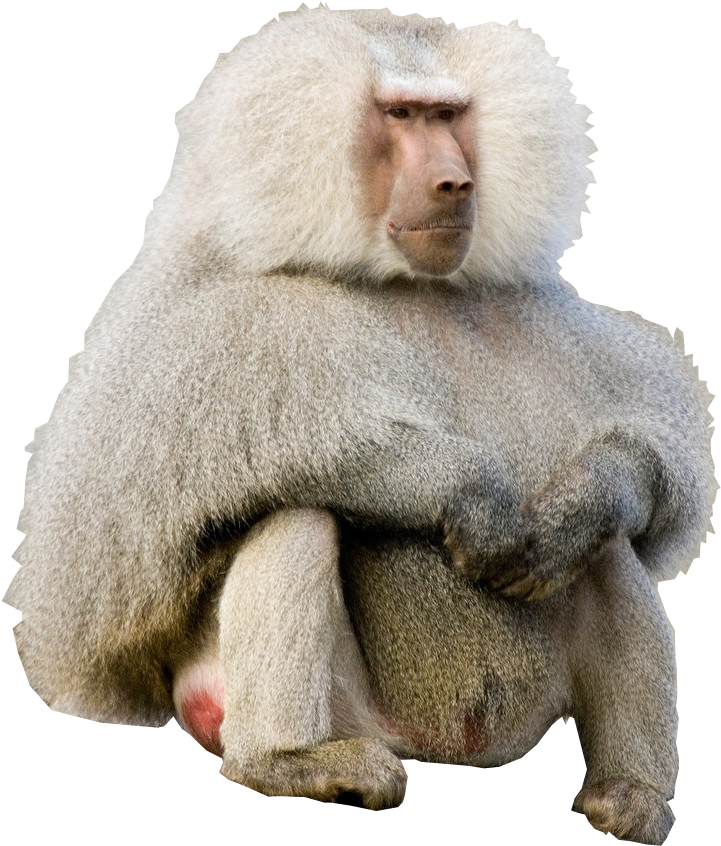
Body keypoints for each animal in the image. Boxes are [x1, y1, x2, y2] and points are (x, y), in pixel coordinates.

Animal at [4, 8, 715, 845]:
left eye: (448, 116)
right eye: (400, 115)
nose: (454, 182)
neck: (406, 282)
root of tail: (444, 749)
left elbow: (654, 447)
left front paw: (579, 502)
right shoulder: (207, 320)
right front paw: (474, 499)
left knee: (605, 554)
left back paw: (629, 798)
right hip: (330, 711)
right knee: (297, 514)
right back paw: (292, 765)